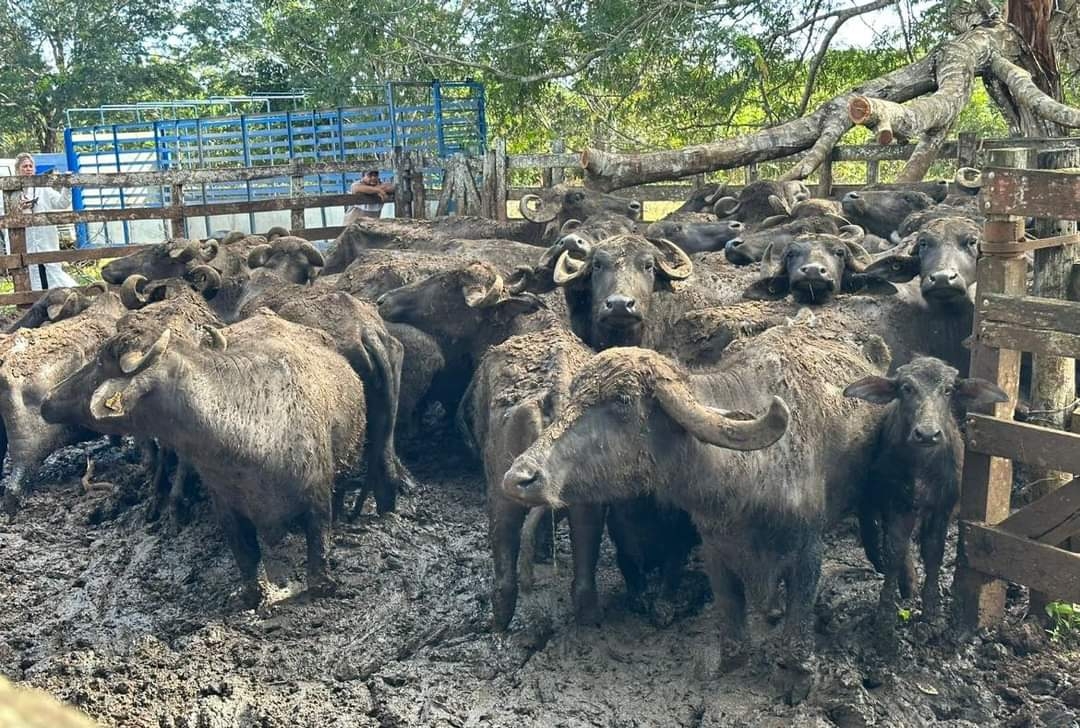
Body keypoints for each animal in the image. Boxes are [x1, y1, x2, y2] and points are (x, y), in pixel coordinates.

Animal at [505, 326, 894, 699]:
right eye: (573, 396)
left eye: (622, 401)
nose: (519, 477)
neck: (746, 474)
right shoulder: (715, 549)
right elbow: (731, 619)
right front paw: (727, 664)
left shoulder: (807, 551)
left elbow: (799, 620)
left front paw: (796, 677)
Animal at [842, 356, 1010, 639]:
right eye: (906, 388)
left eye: (948, 390)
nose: (928, 434)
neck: (921, 468)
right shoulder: (896, 503)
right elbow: (895, 549)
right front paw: (885, 615)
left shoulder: (942, 507)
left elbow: (934, 551)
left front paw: (932, 613)